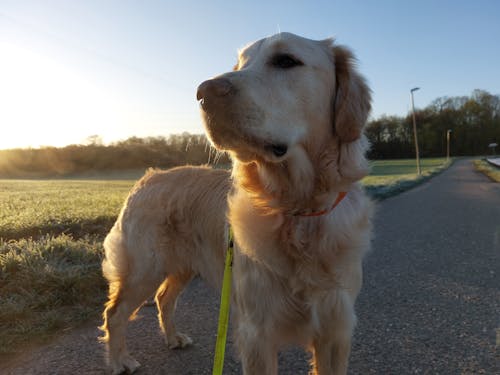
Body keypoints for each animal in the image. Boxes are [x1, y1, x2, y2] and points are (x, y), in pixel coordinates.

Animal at [100, 33, 372, 375]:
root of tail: (147, 178)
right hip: (145, 268)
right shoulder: (257, 332)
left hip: (183, 265)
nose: (204, 92)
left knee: (164, 298)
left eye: (286, 60)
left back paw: (173, 338)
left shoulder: (335, 327)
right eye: (239, 65)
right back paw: (119, 360)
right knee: (115, 313)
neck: (297, 210)